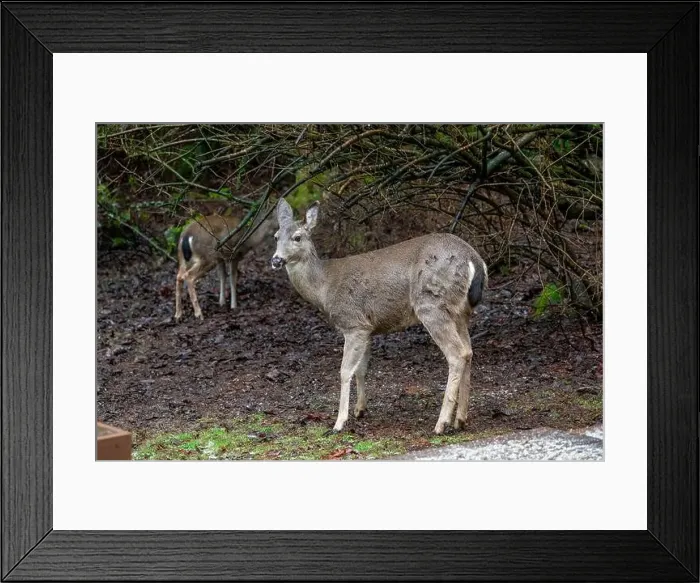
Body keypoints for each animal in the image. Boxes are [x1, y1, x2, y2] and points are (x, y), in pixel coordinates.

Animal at [271, 198, 488, 435]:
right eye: (276, 236)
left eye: (297, 237)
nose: (276, 260)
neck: (324, 288)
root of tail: (475, 261)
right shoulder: (368, 327)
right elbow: (361, 369)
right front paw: (360, 409)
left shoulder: (353, 322)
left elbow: (345, 371)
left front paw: (339, 422)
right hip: (460, 312)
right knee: (468, 351)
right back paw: (461, 419)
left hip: (432, 304)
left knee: (457, 353)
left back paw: (441, 423)